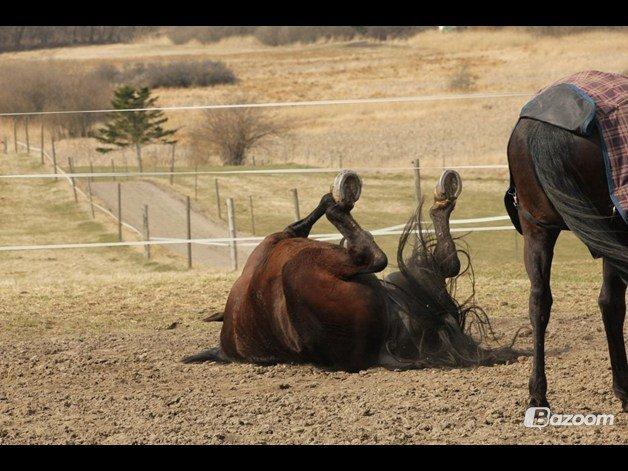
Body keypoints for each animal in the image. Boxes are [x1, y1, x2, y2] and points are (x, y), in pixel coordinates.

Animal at [182, 171, 506, 372]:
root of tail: (379, 352)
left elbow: (300, 224)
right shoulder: (276, 241)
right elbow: (298, 225)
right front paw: (332, 199)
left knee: (442, 262)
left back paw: (443, 198)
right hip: (320, 268)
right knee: (392, 258)